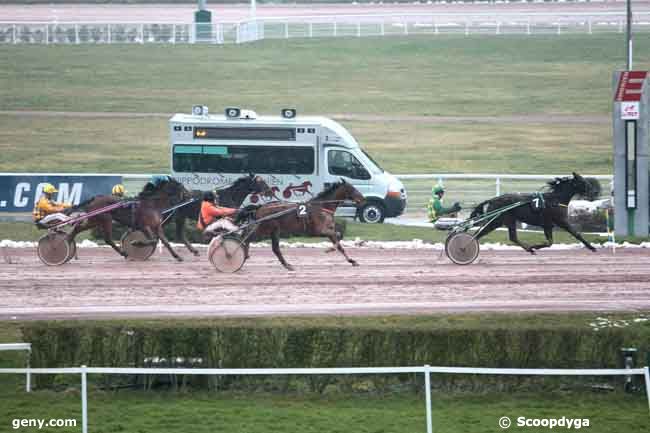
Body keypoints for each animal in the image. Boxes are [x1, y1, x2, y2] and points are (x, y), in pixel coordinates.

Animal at [240, 180, 368, 270]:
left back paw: (286, 265)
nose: (363, 199)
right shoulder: (320, 231)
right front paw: (329, 249)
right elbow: (338, 236)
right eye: (353, 189)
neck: (322, 206)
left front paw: (352, 261)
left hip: (273, 231)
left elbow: (340, 243)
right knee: (246, 238)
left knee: (273, 248)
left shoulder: (328, 231)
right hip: (265, 229)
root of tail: (260, 207)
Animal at [468, 172, 600, 253]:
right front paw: (592, 247)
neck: (555, 200)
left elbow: (550, 242)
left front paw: (534, 246)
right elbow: (576, 234)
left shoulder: (548, 225)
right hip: (499, 220)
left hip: (505, 221)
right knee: (479, 234)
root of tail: (493, 199)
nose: (594, 192)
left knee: (511, 237)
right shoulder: (561, 221)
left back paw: (529, 249)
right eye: (583, 181)